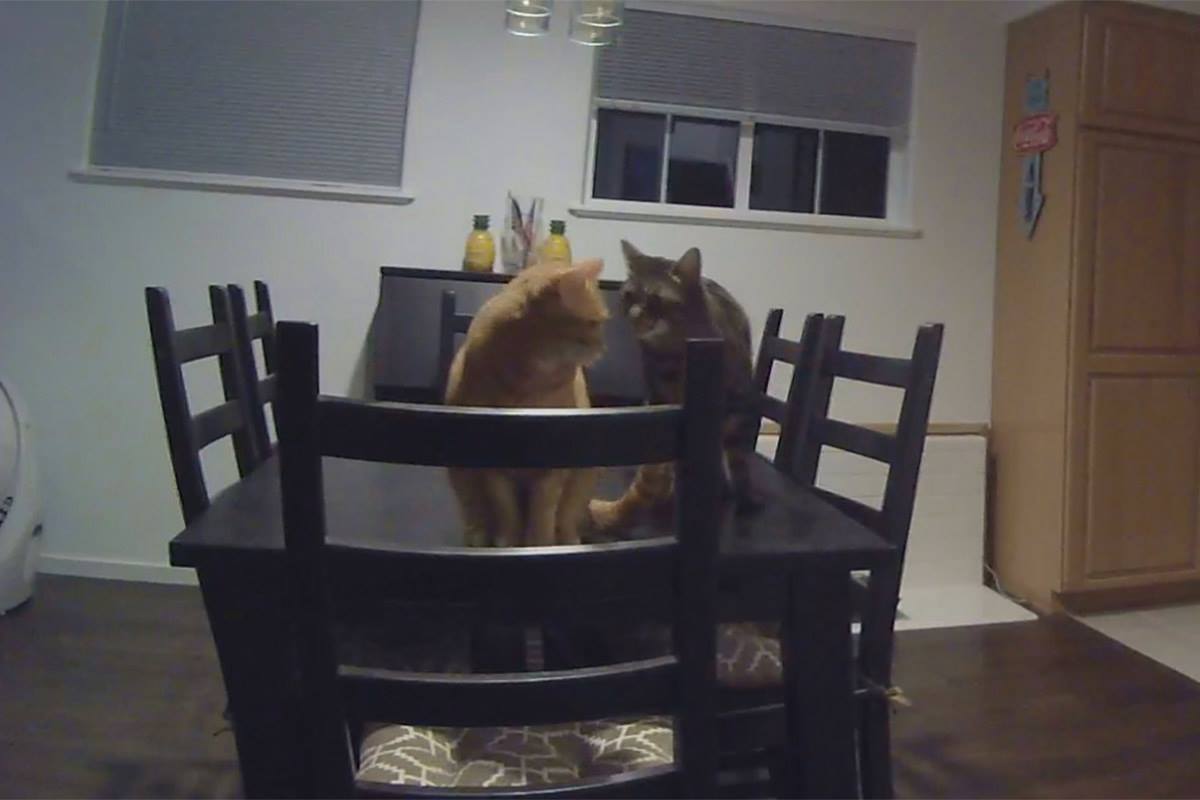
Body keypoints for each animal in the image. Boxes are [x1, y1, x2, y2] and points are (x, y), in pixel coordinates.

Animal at [444, 260, 609, 546]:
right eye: (593, 322)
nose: (603, 346)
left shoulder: (551, 473)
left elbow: (541, 519)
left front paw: (538, 545)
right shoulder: (493, 472)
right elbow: (507, 514)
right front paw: (507, 545)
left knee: (566, 522)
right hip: (462, 479)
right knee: (477, 519)